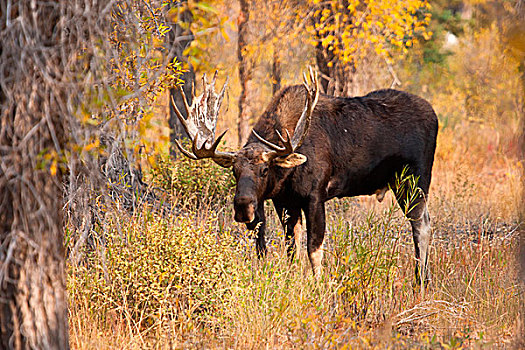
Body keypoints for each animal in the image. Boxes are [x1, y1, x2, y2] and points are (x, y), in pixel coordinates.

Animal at [173, 69, 438, 284]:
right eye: (234, 171)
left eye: (264, 170)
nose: (243, 207)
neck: (287, 175)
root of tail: (435, 117)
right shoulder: (284, 201)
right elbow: (292, 248)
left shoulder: (315, 196)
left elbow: (314, 248)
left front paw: (318, 286)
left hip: (415, 180)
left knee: (421, 225)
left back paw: (420, 281)